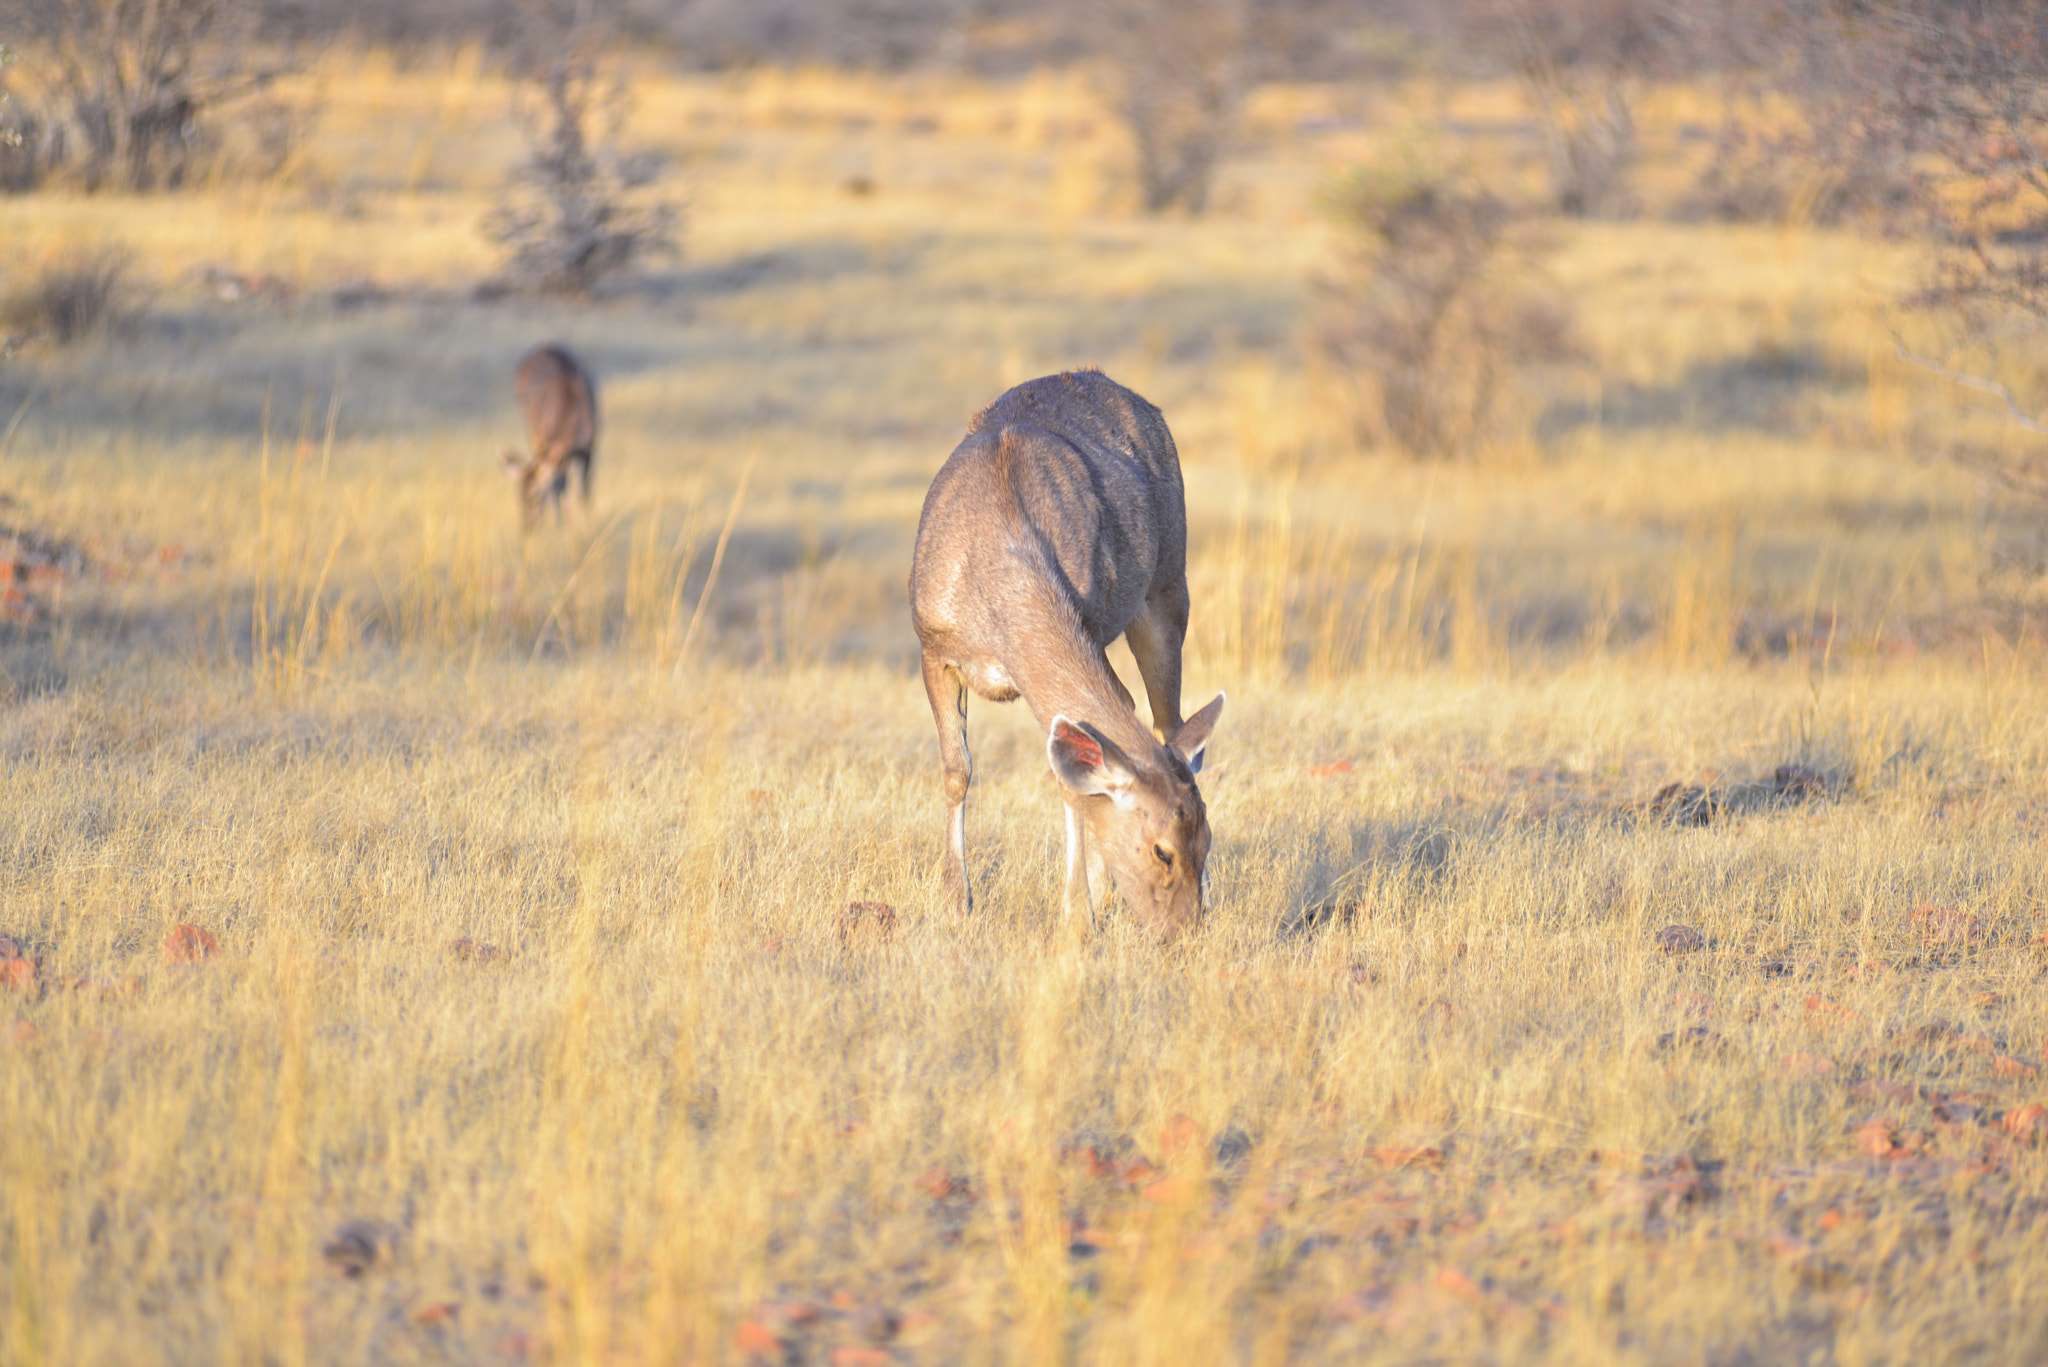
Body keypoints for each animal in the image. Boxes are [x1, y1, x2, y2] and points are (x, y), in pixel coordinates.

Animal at [503, 344, 598, 532]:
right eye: (518, 495)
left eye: (536, 494)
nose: (526, 528)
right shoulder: (546, 440)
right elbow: (559, 488)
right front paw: (562, 525)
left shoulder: (589, 447)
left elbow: (583, 490)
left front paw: (586, 523)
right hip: (530, 427)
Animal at [909, 368, 1220, 934]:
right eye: (1162, 851)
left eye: (1207, 843)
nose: (1186, 931)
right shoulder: (932, 645)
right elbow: (956, 769)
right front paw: (956, 902)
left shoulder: (1090, 623)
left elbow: (1071, 781)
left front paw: (1079, 916)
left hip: (1168, 584)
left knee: (1166, 718)